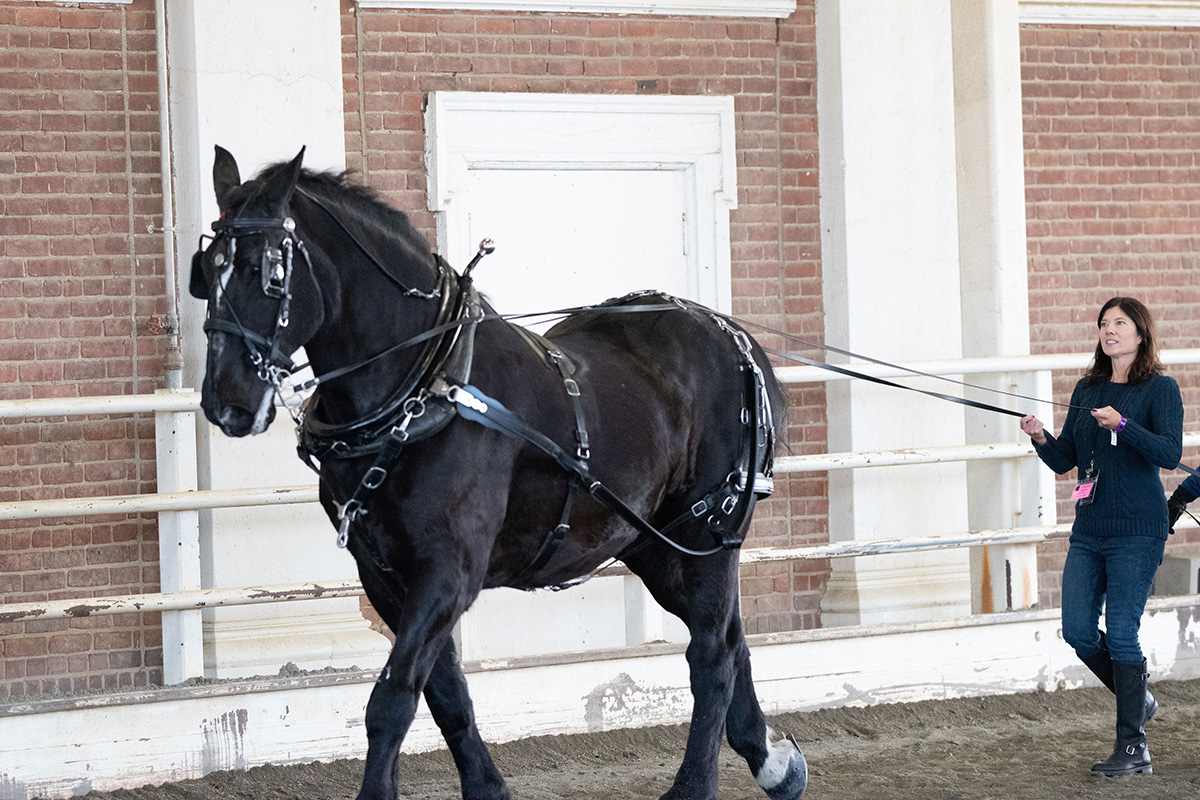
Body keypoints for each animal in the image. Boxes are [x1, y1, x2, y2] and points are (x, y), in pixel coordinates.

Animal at [189, 145, 806, 800]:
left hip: (704, 535)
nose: (225, 401)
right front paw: (487, 788)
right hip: (654, 545)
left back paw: (695, 785)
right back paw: (773, 762)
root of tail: (730, 336)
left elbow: (392, 701)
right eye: (207, 270)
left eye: (268, 271)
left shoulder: (448, 571)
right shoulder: (384, 576)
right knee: (731, 640)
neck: (425, 385)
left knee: (712, 655)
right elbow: (446, 696)